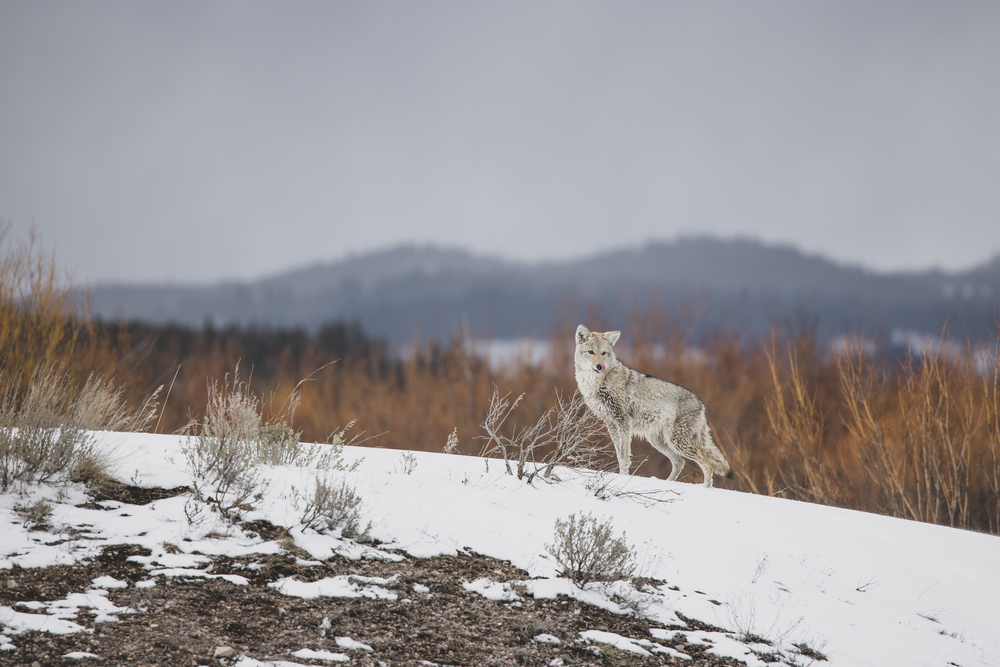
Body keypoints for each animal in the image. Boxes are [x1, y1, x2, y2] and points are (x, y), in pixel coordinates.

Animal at [574, 324, 732, 486]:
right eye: (591, 352)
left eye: (604, 353)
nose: (600, 366)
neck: (596, 383)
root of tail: (701, 404)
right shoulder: (611, 423)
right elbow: (619, 455)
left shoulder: (624, 421)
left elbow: (624, 457)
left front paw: (622, 479)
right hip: (659, 442)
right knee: (680, 461)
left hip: (677, 442)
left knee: (707, 464)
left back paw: (704, 488)